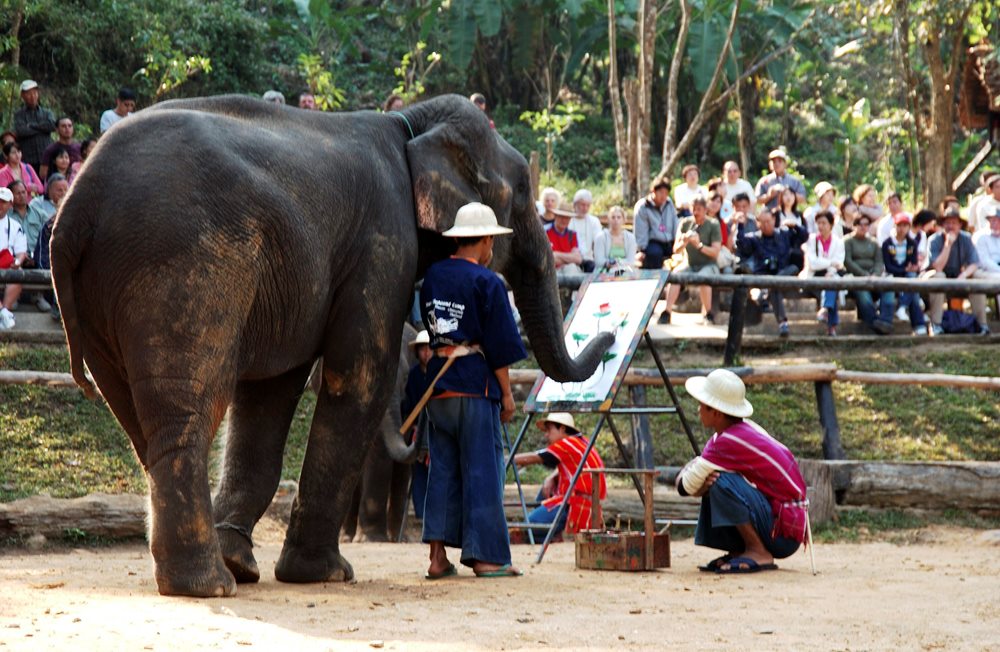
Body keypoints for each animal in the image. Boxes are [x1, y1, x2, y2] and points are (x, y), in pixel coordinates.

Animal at [50, 91, 612, 596]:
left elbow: (271, 392)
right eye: (520, 193)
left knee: (140, 421)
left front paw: (246, 564)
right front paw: (324, 574)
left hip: (107, 293)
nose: (607, 333)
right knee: (186, 412)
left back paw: (214, 573)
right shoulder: (383, 244)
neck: (409, 127)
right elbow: (360, 377)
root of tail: (74, 208)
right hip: (181, 265)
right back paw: (206, 586)